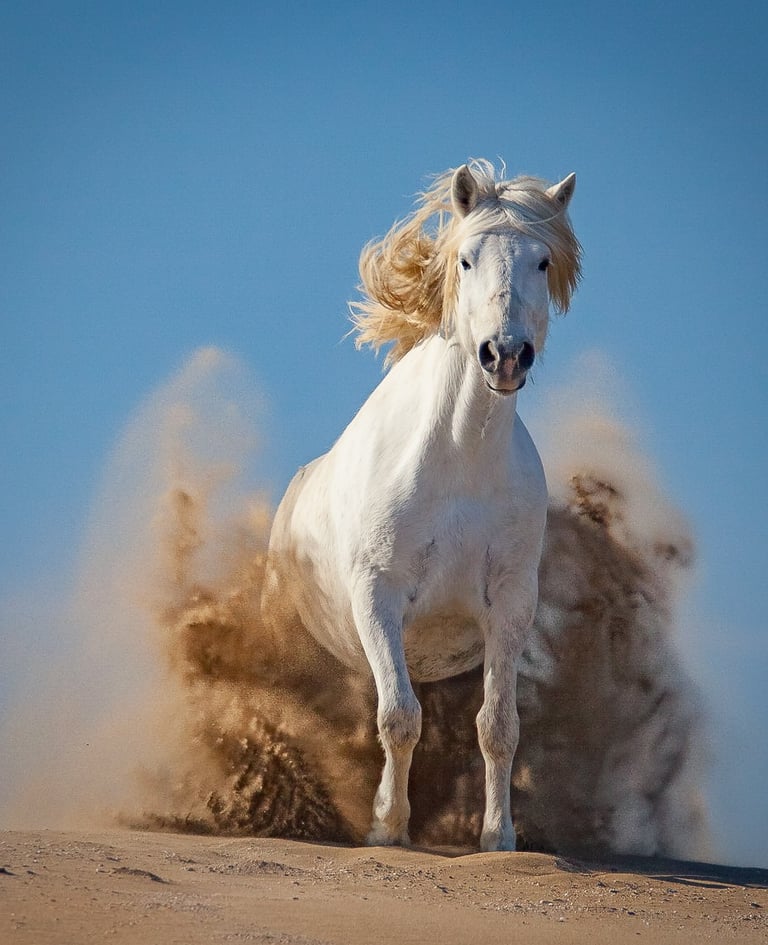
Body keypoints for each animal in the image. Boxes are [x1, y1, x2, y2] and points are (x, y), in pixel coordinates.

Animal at [262, 159, 582, 851]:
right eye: (465, 258)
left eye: (543, 261)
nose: (505, 355)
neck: (458, 465)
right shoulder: (378, 594)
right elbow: (399, 718)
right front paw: (387, 827)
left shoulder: (509, 606)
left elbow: (499, 727)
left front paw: (498, 838)